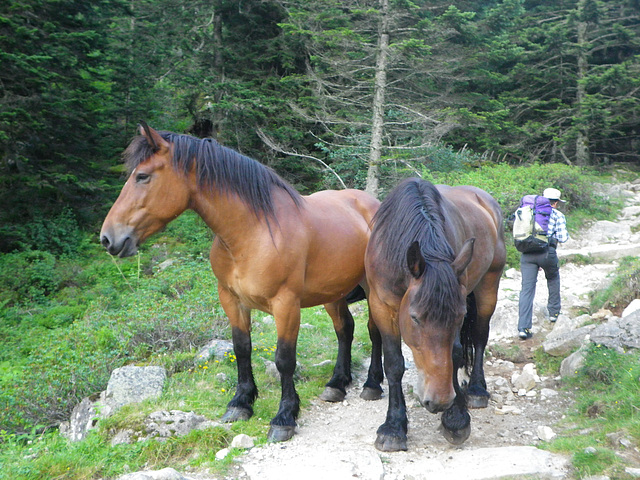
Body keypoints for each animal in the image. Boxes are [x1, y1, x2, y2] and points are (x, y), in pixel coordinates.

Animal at [99, 124, 380, 442]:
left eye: (142, 176)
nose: (108, 238)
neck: (252, 232)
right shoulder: (231, 300)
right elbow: (241, 348)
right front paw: (241, 403)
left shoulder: (286, 305)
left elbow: (284, 359)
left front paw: (284, 417)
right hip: (333, 292)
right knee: (345, 329)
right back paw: (337, 384)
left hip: (371, 288)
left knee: (374, 331)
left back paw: (372, 385)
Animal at [364, 178, 504, 452]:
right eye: (415, 317)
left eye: (459, 317)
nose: (439, 402)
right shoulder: (381, 306)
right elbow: (394, 363)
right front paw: (394, 427)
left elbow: (455, 354)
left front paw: (455, 419)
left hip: (488, 286)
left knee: (480, 337)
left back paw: (476, 390)